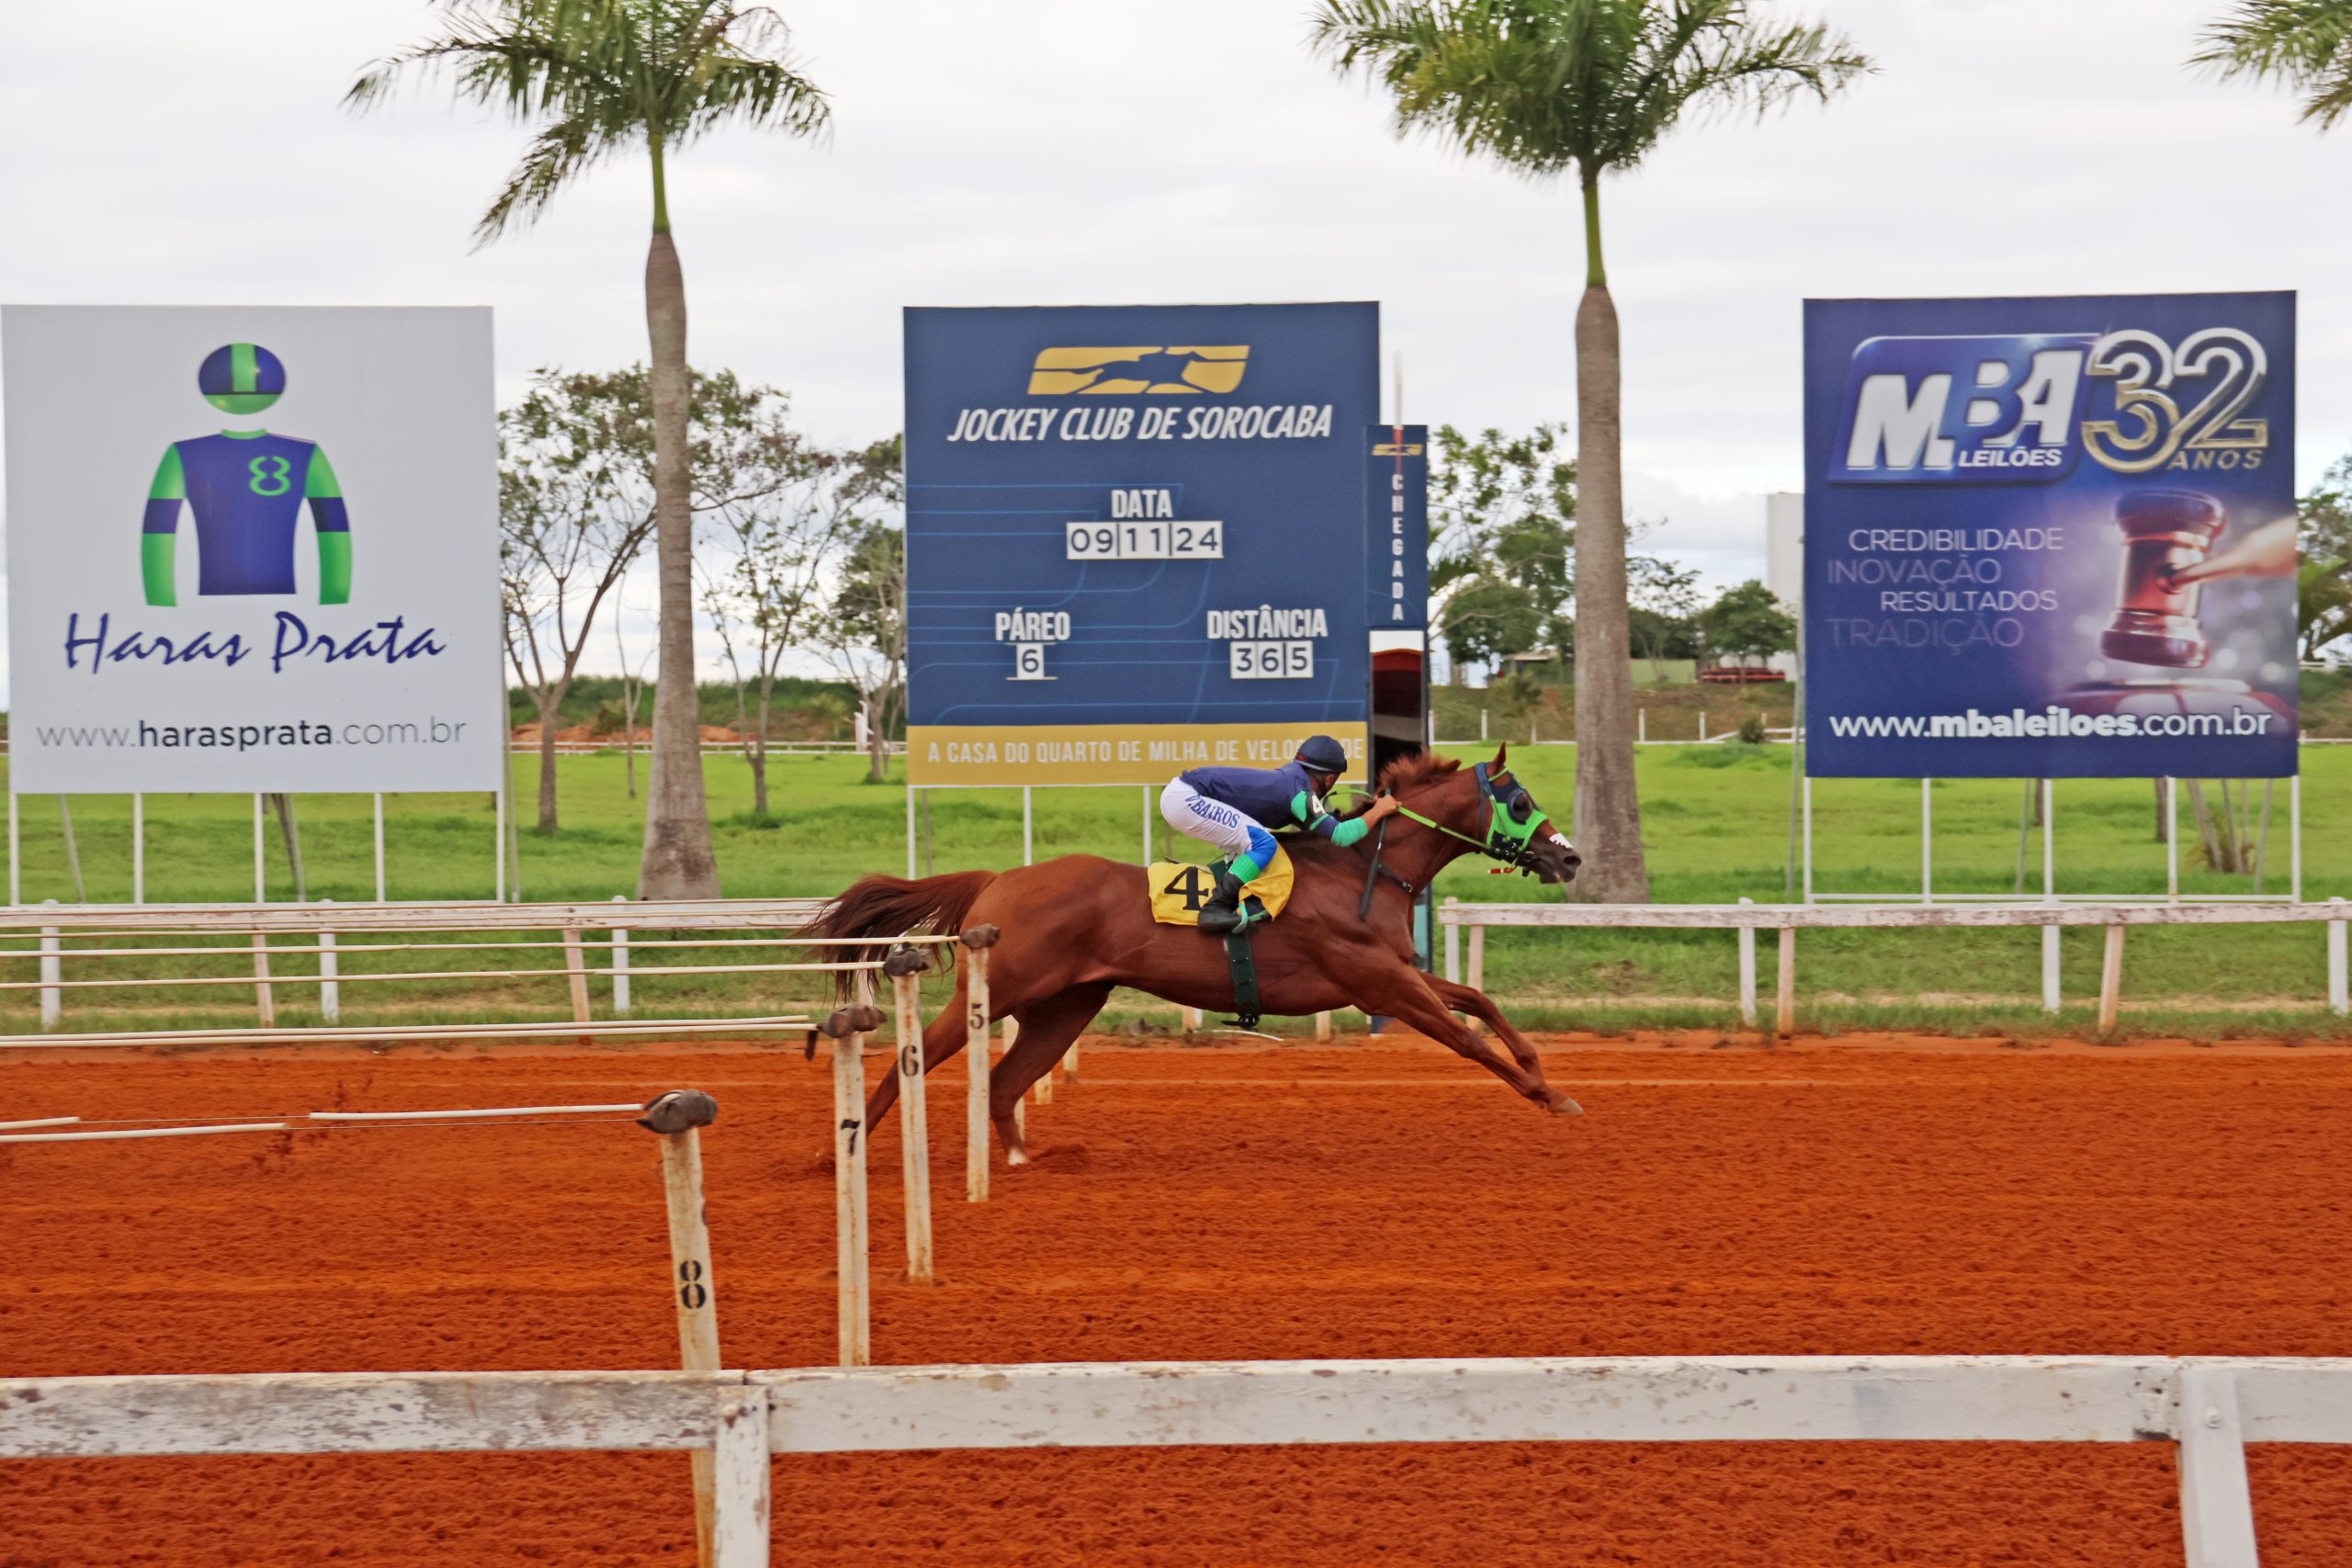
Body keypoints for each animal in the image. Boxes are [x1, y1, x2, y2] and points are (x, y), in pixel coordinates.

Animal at [799, 747, 1589, 1166]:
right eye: (1520, 800)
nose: (1570, 857)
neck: (1364, 868)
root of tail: (999, 879)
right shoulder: (1382, 985)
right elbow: (1467, 1039)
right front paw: (1545, 1095)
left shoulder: (1396, 974)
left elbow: (1481, 1002)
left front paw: (1551, 1079)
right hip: (999, 992)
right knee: (910, 1065)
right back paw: (839, 1152)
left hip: (1066, 1006)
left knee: (1002, 1082)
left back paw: (1025, 1159)